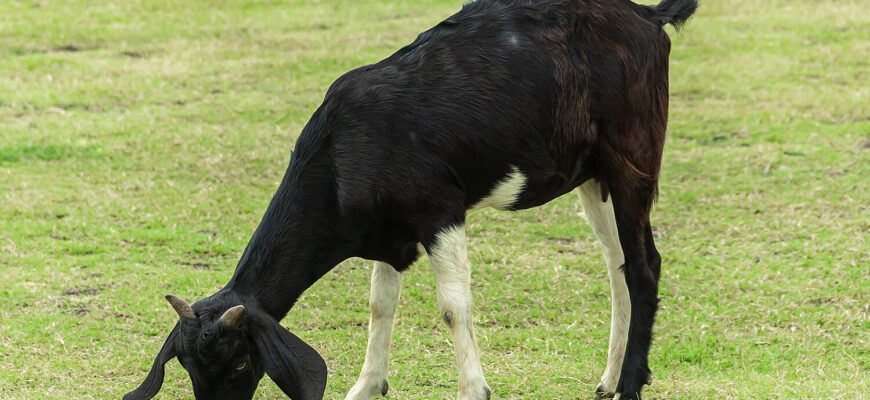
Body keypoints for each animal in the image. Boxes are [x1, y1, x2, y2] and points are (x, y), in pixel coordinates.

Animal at [122, 0, 700, 398]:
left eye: (242, 362)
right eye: (188, 366)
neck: (341, 153)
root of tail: (647, 17)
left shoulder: (439, 212)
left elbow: (452, 306)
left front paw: (474, 390)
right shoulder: (388, 236)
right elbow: (381, 305)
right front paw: (366, 386)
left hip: (633, 156)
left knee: (644, 265)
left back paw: (629, 385)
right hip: (592, 176)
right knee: (617, 265)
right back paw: (609, 379)